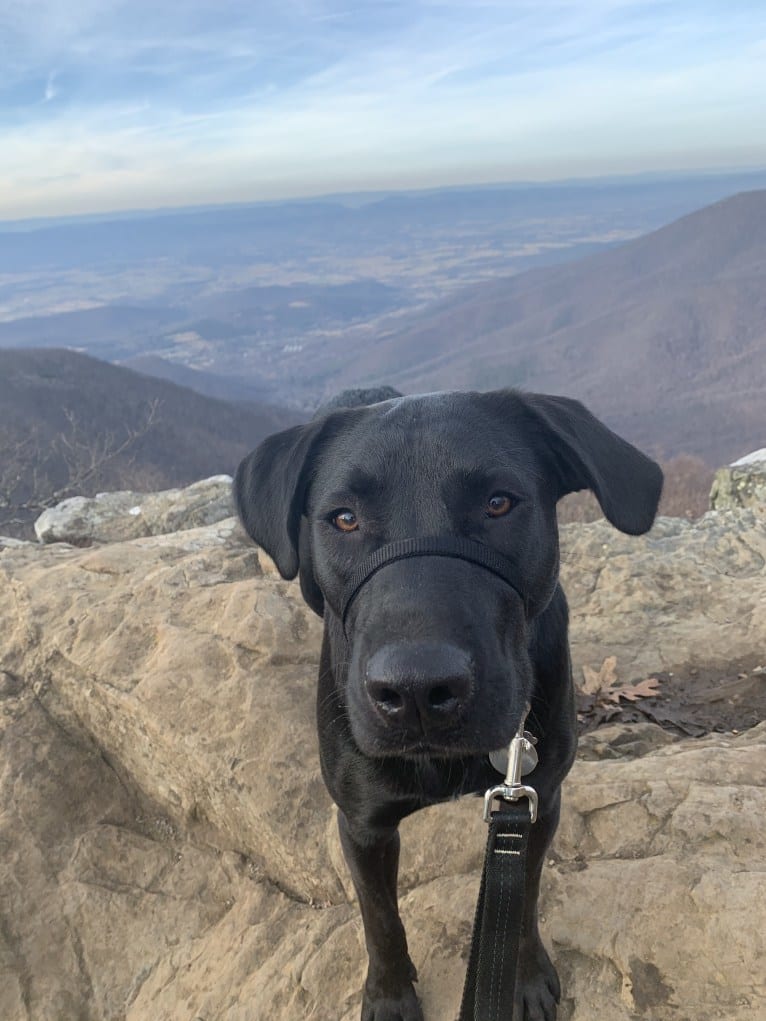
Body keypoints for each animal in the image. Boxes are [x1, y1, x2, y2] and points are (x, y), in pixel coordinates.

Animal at [232, 390, 661, 1021]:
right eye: (344, 518)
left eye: (498, 503)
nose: (416, 691)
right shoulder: (362, 825)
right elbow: (380, 919)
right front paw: (390, 995)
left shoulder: (538, 799)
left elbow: (523, 894)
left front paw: (520, 978)